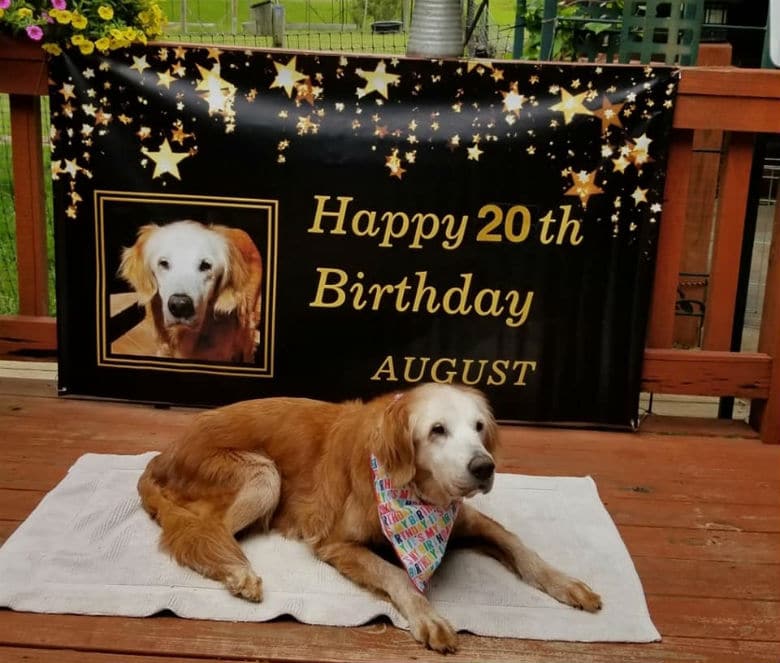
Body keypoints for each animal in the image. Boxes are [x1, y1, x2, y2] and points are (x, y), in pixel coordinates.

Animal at [139, 384, 604, 652]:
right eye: (437, 430)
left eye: (478, 427)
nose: (484, 468)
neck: (417, 493)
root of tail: (165, 453)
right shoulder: (336, 544)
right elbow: (397, 574)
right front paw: (427, 615)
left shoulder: (468, 521)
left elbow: (522, 548)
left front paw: (567, 584)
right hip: (263, 475)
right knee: (206, 532)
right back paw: (239, 573)